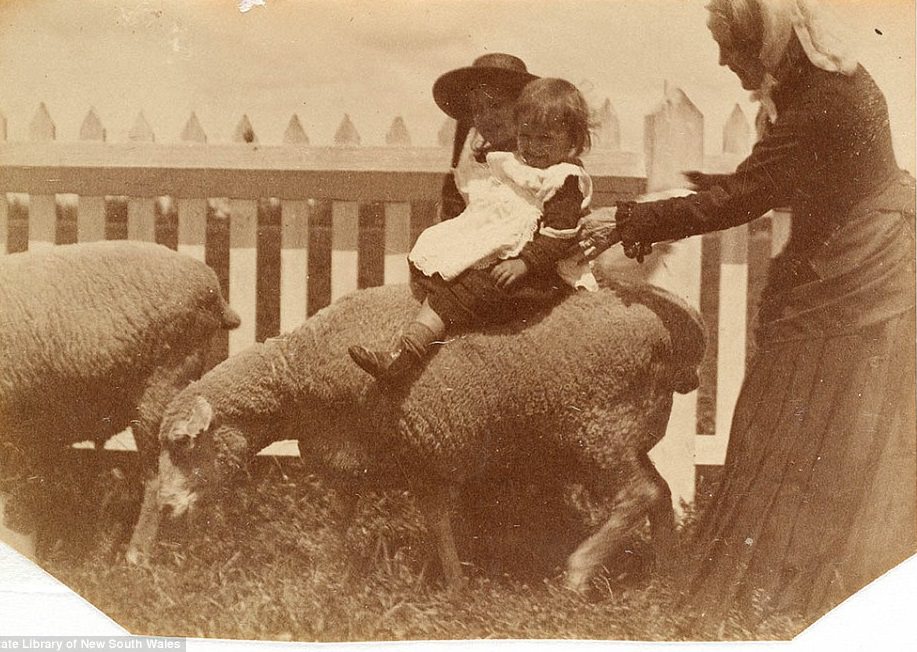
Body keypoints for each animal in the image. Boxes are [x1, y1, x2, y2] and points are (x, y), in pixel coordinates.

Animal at [156, 281, 705, 592]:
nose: (162, 507)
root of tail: (673, 334)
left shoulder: (397, 450)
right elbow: (416, 521)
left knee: (640, 493)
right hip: (623, 431)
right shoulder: (400, 457)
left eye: (182, 444)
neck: (295, 378)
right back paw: (670, 581)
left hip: (597, 429)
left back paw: (578, 572)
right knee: (660, 494)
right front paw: (455, 589)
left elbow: (361, 519)